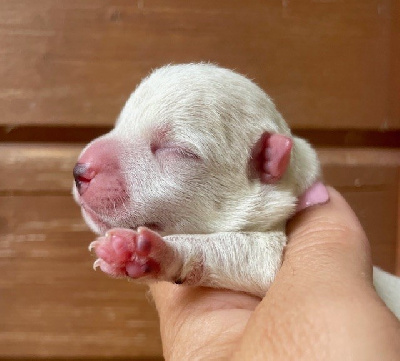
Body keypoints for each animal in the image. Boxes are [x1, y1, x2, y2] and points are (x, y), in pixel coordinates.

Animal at [72, 63, 400, 316]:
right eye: (119, 124)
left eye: (176, 150)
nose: (79, 170)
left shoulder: (274, 255)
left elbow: (253, 259)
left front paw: (152, 253)